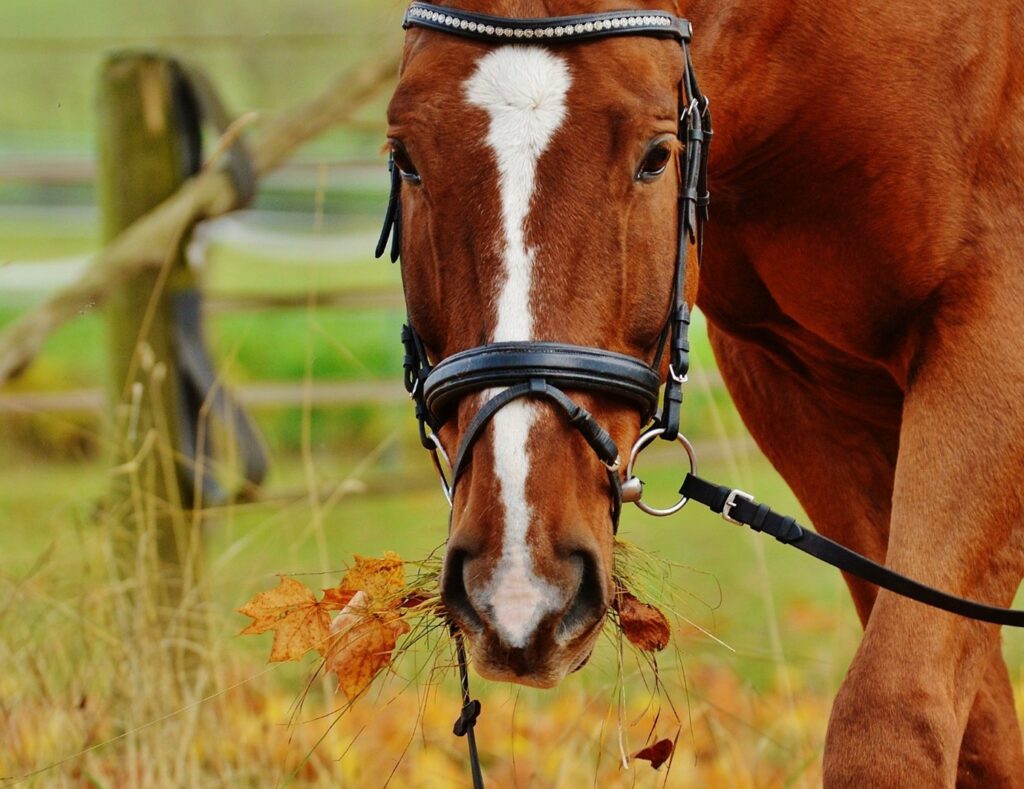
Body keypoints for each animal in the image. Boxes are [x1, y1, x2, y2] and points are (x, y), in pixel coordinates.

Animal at [383, 1, 1024, 784]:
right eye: (407, 157)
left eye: (657, 156)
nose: (519, 588)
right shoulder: (798, 383)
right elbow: (979, 729)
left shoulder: (995, 334)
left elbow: (894, 710)